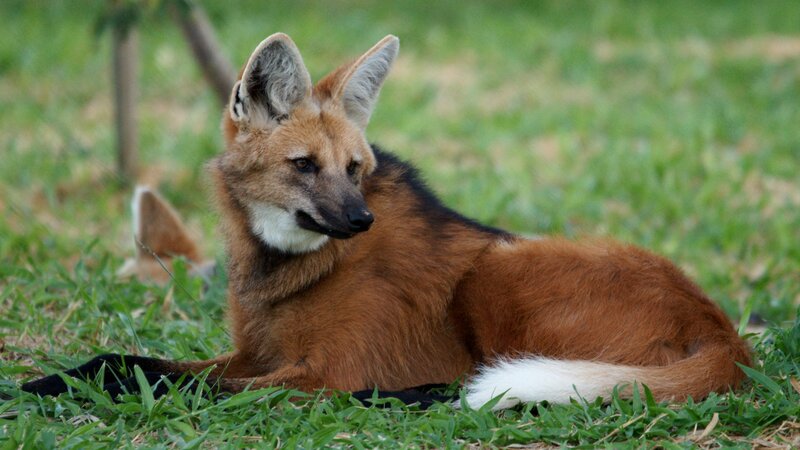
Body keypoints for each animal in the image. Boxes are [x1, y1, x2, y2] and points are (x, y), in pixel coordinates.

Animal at [23, 33, 750, 410]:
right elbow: (133, 361)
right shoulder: (256, 353)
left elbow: (181, 384)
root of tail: (723, 332)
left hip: (496, 272)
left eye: (354, 167)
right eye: (304, 165)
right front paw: (50, 379)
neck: (287, 268)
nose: (360, 219)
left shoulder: (318, 374)